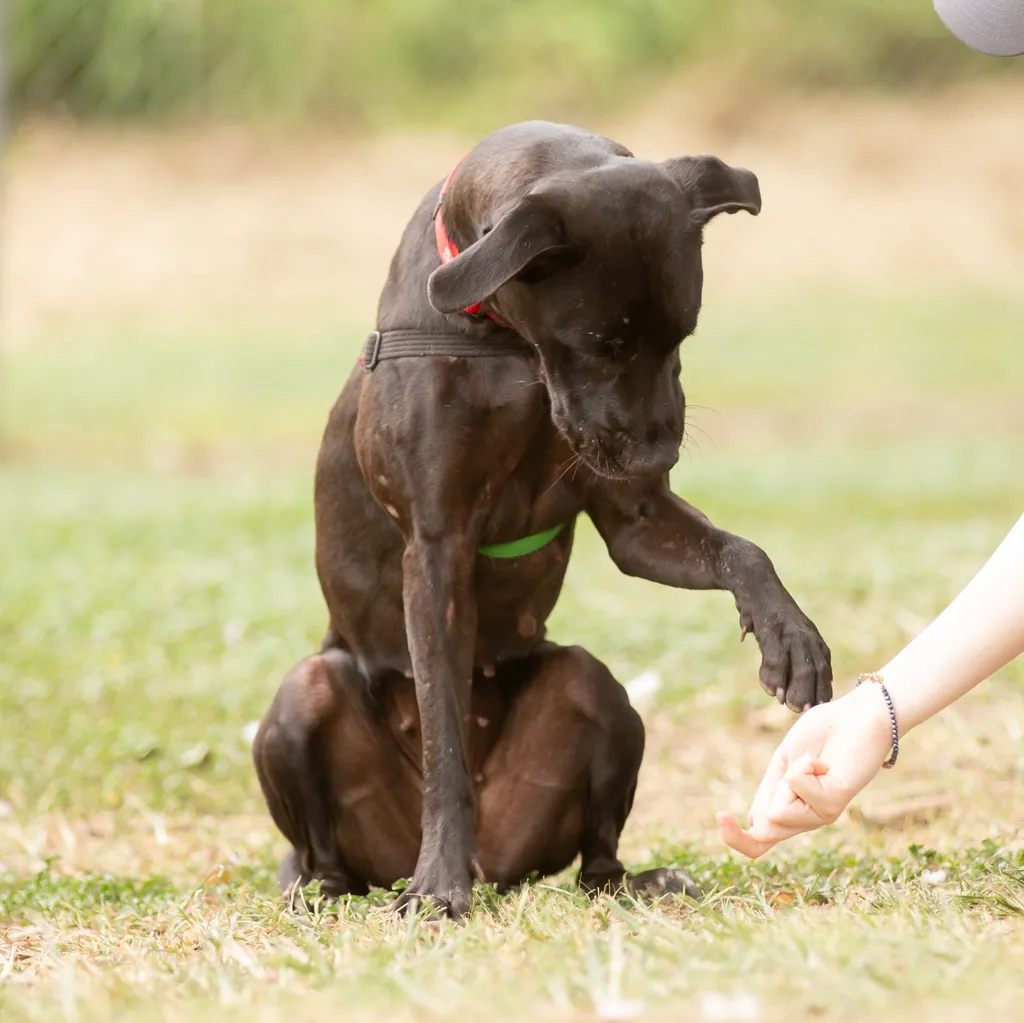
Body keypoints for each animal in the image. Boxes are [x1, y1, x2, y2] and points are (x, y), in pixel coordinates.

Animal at [253, 119, 831, 921]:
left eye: (682, 336)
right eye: (602, 343)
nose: (660, 453)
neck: (507, 344)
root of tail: (497, 863)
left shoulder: (635, 521)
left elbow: (743, 551)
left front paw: (791, 638)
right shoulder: (436, 548)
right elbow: (443, 737)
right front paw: (438, 886)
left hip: (595, 692)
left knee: (596, 855)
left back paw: (635, 879)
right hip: (302, 701)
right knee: (323, 847)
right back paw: (342, 888)